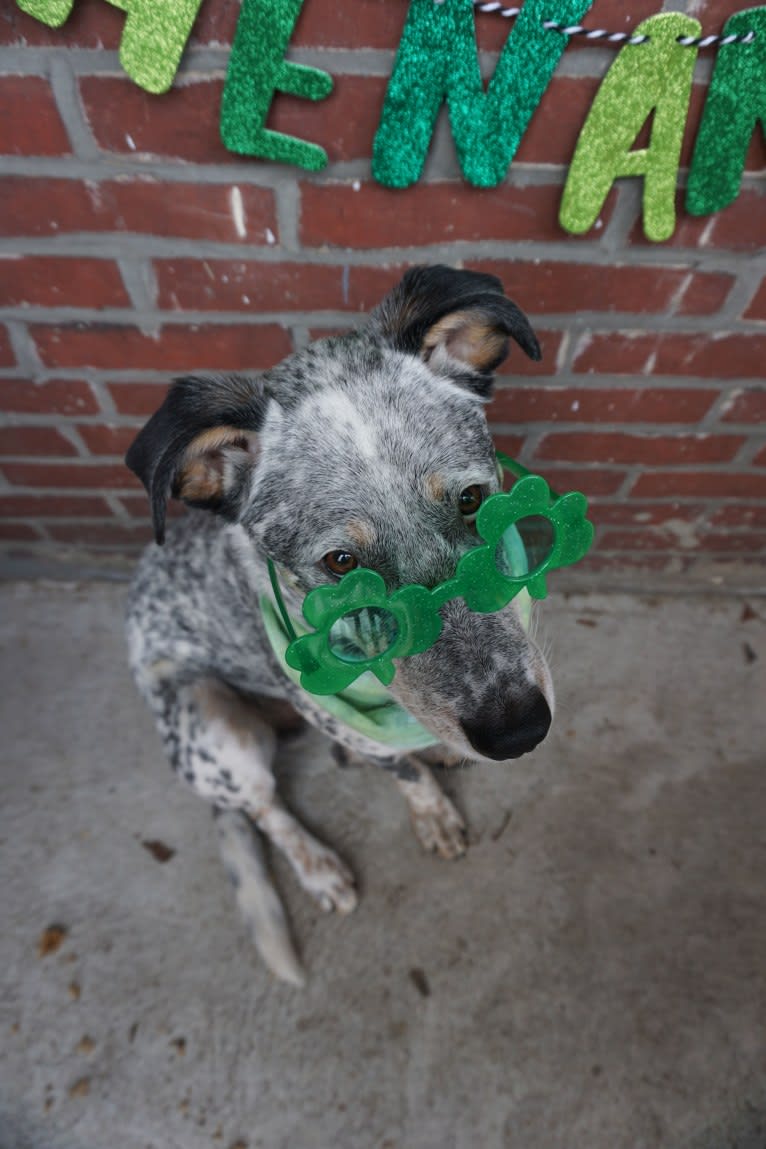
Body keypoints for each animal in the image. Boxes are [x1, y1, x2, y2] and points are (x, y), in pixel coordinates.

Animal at [127, 264, 558, 983]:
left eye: (473, 499)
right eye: (340, 563)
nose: (519, 732)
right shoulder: (344, 722)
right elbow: (405, 774)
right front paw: (433, 813)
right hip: (214, 731)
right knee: (265, 807)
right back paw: (319, 867)